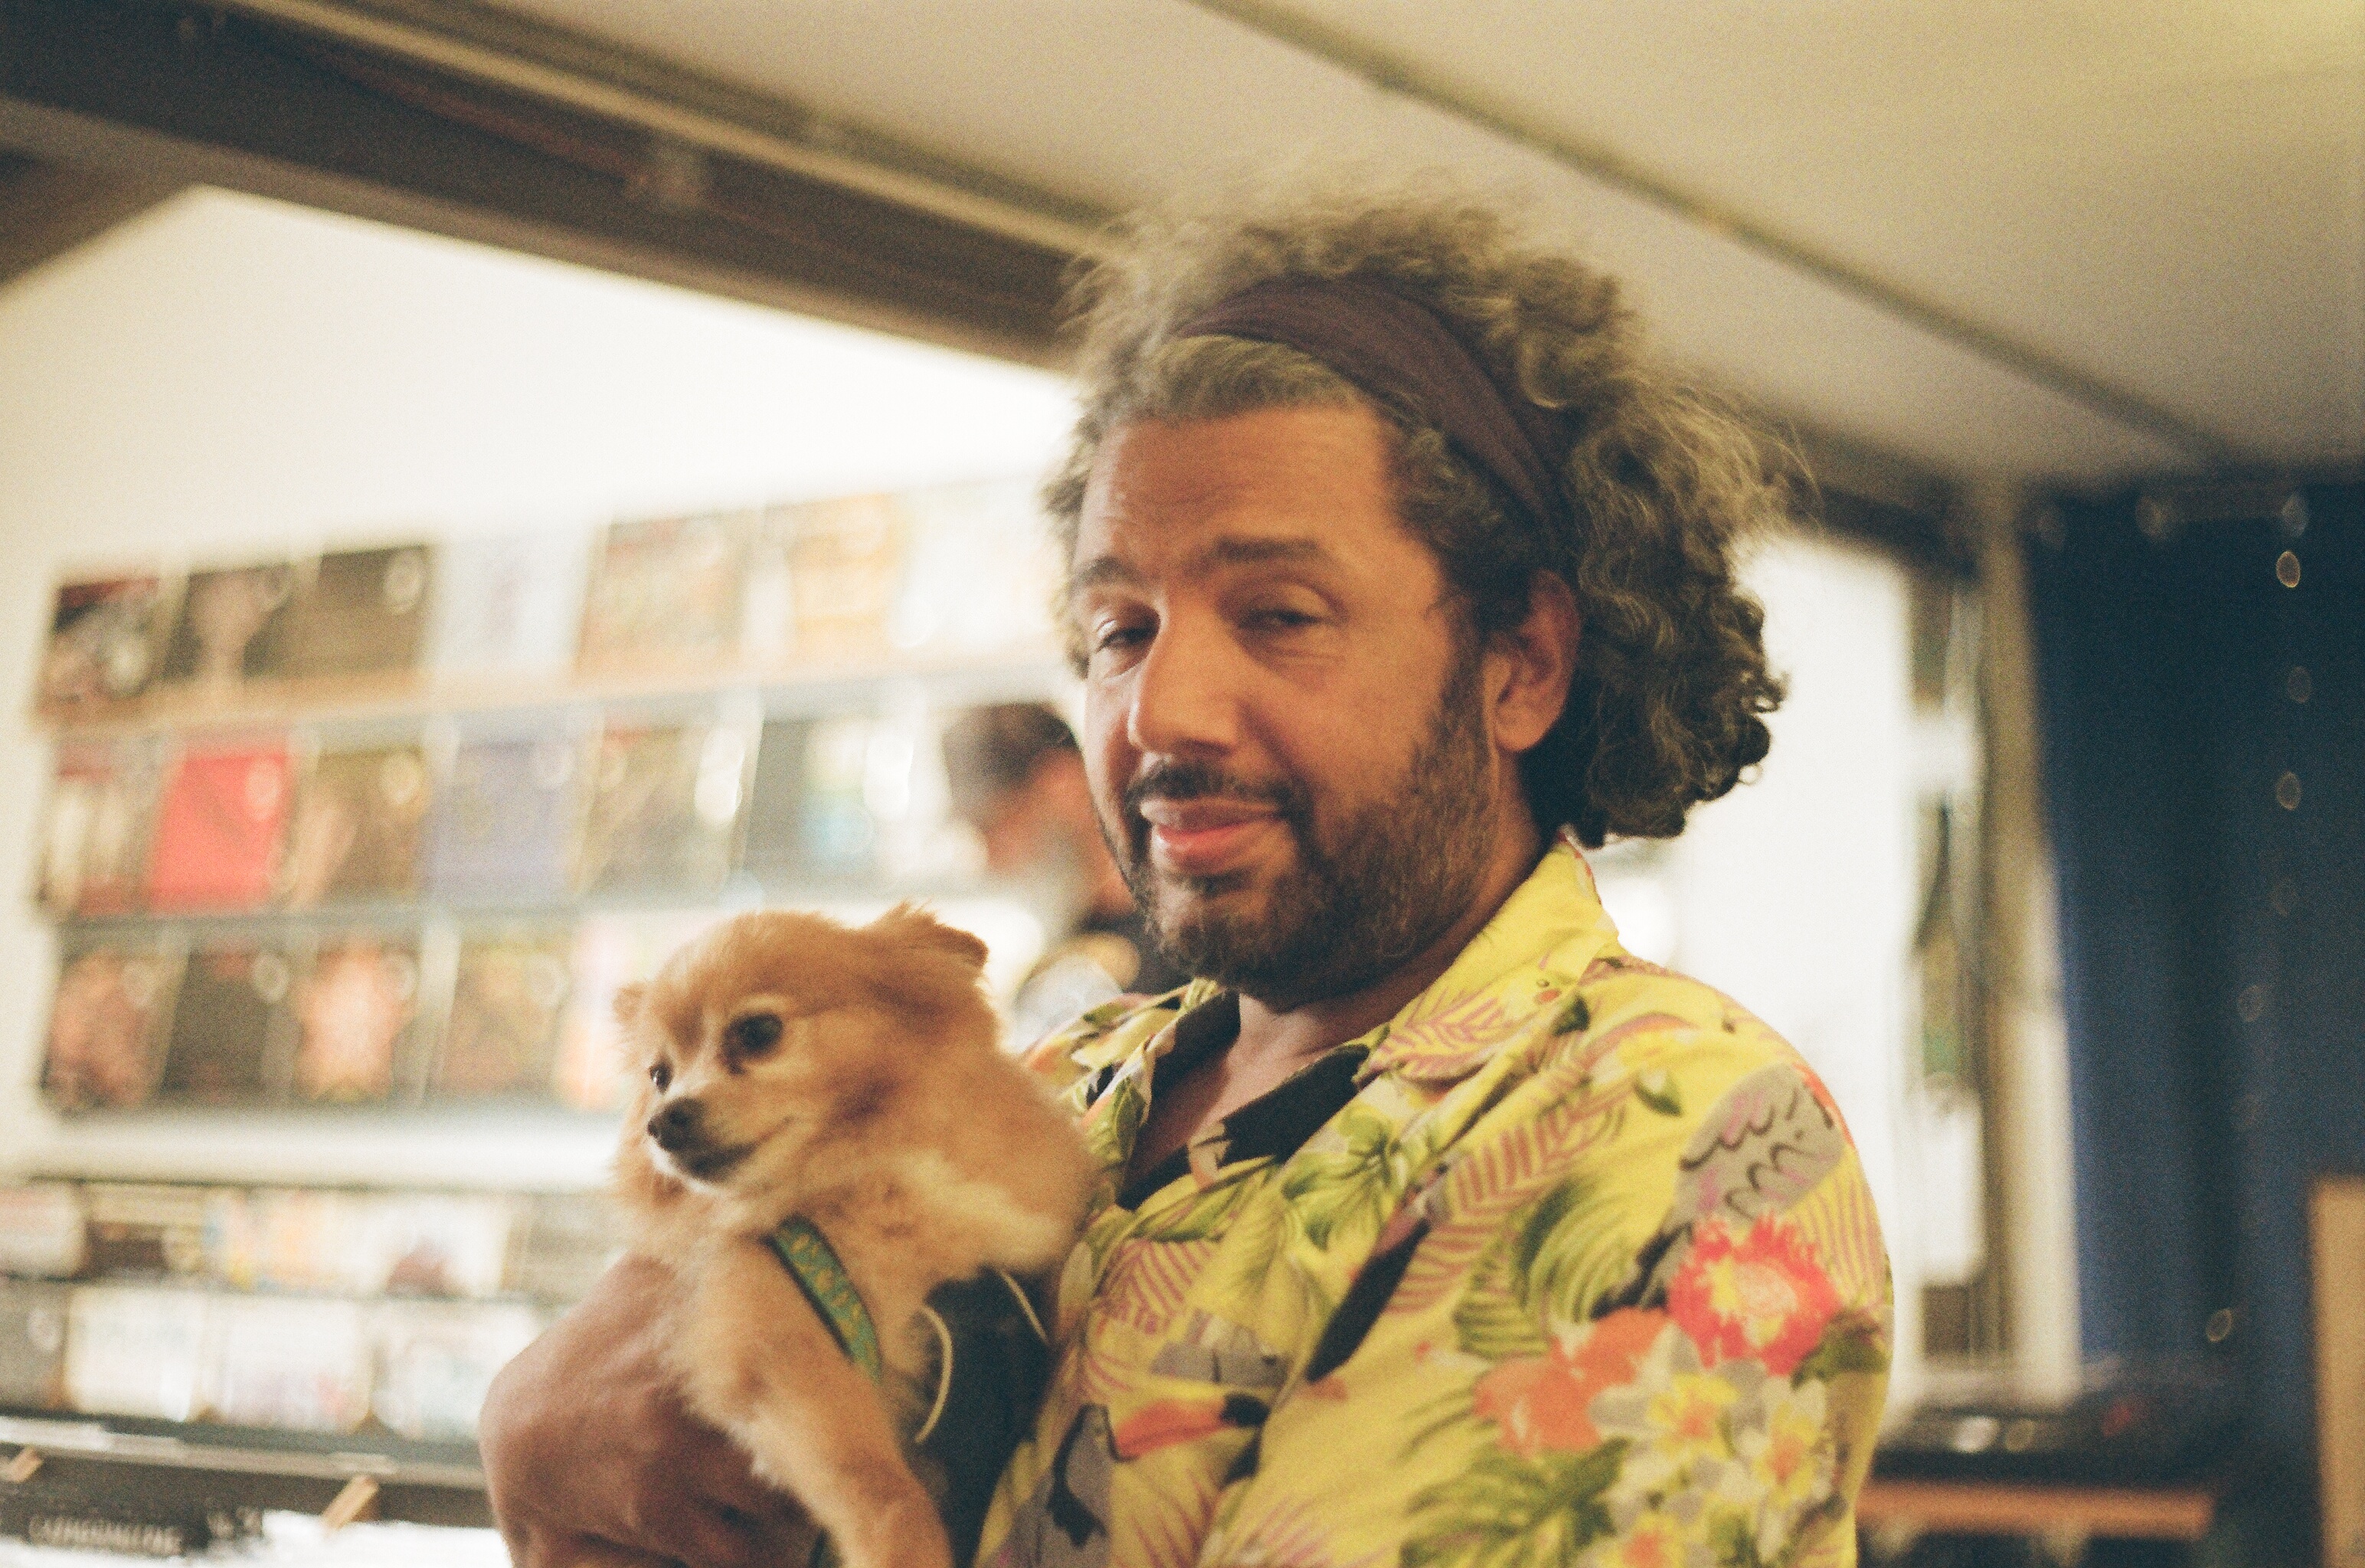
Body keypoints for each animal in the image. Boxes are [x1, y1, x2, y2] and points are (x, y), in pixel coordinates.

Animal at [610, 903, 1088, 1568]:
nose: (663, 1121)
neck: (864, 1175)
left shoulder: (1003, 1317)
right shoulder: (784, 1347)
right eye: (659, 1075)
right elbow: (881, 1486)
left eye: (757, 1032)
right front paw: (904, 1552)